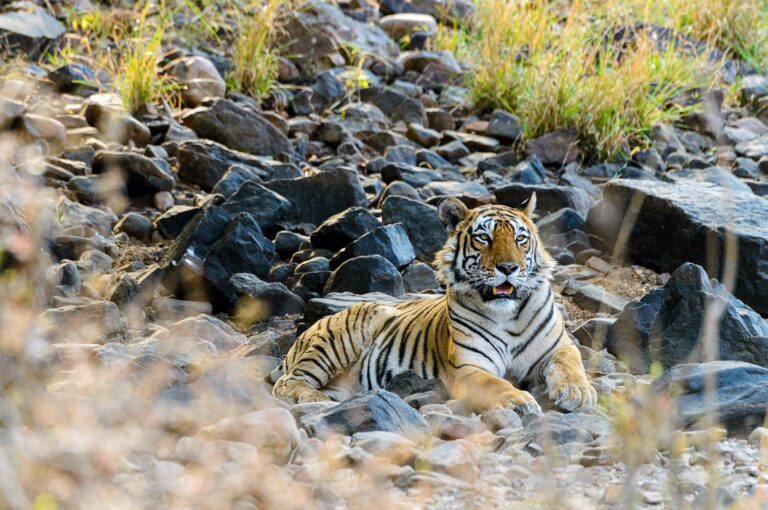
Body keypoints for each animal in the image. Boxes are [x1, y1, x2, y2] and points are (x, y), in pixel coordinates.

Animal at [272, 195, 596, 414]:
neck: (509, 316)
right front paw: (518, 399)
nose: (508, 267)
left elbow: (571, 364)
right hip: (348, 332)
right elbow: (496, 384)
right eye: (484, 238)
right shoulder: (469, 367)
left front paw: (578, 392)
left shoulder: (558, 346)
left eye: (520, 239)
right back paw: (314, 399)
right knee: (285, 382)